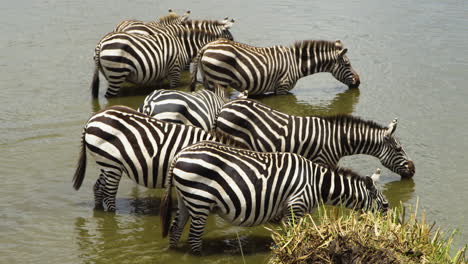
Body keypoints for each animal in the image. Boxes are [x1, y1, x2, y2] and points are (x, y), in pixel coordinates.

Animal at [161, 141, 388, 253]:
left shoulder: (286, 211)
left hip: (186, 199)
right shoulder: (296, 205)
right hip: (199, 199)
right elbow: (292, 236)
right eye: (382, 203)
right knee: (194, 239)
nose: (387, 221)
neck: (317, 184)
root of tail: (179, 154)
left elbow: (286, 237)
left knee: (175, 231)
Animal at [188, 37, 360, 94]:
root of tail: (206, 46)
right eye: (347, 64)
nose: (358, 82)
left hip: (208, 79)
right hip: (220, 79)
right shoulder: (282, 88)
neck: (296, 64)